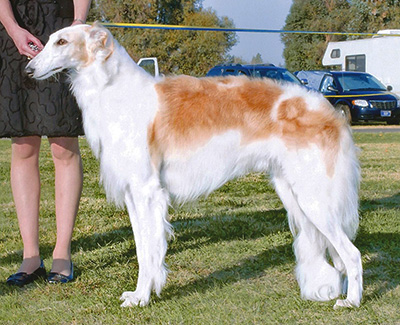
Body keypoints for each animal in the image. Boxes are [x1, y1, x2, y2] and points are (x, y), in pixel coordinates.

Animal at [25, 23, 362, 308]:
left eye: (61, 41)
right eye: (49, 41)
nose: (28, 69)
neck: (116, 93)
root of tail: (329, 110)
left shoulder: (148, 192)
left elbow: (150, 252)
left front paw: (142, 297)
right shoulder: (134, 195)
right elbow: (141, 250)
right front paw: (139, 293)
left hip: (314, 198)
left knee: (353, 254)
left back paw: (352, 301)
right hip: (296, 194)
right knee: (340, 257)